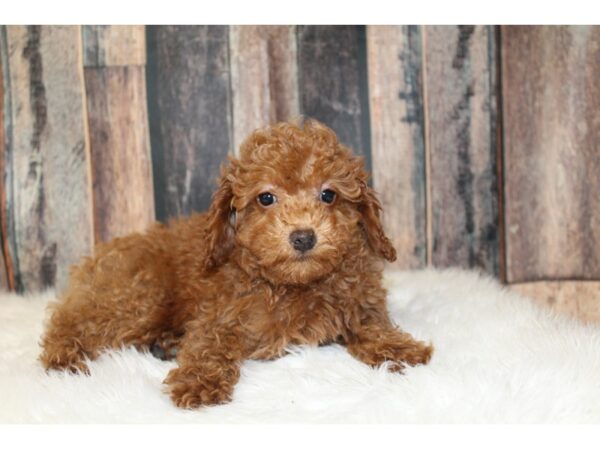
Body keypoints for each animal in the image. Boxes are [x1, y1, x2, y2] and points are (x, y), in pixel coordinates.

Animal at [39, 118, 434, 408]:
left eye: (328, 195)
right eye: (266, 198)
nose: (303, 237)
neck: (295, 284)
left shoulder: (359, 301)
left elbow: (372, 326)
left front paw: (402, 348)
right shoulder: (218, 315)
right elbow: (209, 344)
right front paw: (198, 382)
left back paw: (165, 344)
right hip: (138, 296)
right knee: (70, 321)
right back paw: (63, 358)